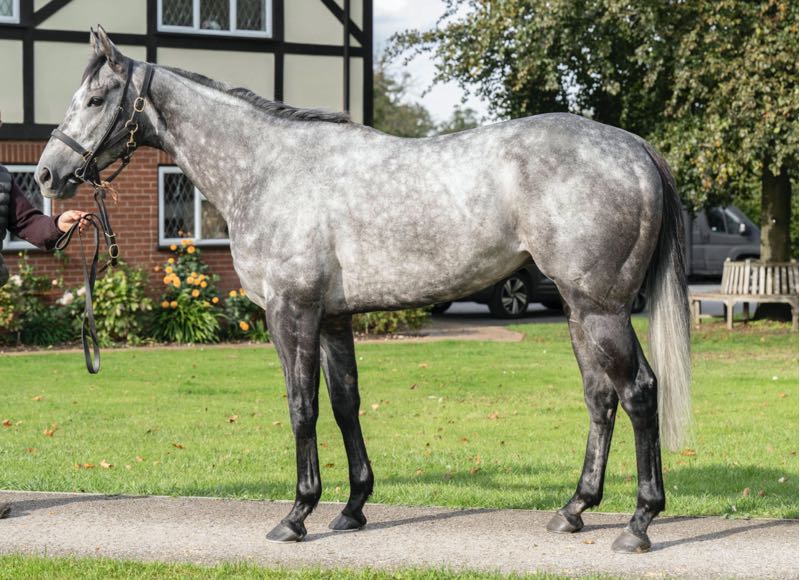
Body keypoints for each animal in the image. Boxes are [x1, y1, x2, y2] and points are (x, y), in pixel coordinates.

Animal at [35, 28, 691, 553]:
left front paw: (297, 515)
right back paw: (574, 509)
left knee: (638, 392)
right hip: (580, 313)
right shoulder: (333, 318)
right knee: (600, 398)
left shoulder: (291, 313)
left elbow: (302, 408)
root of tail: (634, 148)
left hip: (601, 310)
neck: (269, 168)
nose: (47, 174)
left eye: (95, 100)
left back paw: (639, 524)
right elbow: (345, 404)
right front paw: (352, 508)